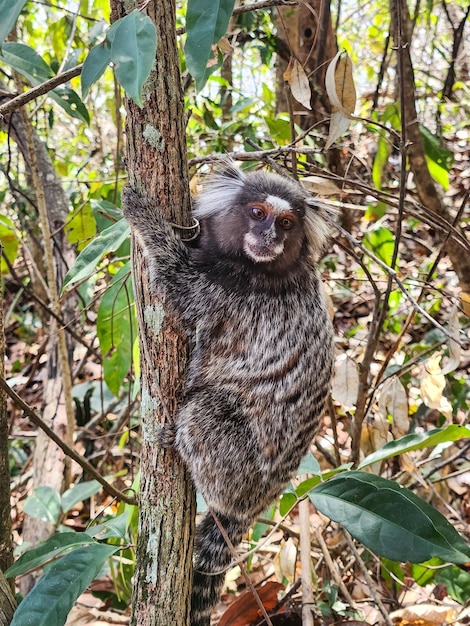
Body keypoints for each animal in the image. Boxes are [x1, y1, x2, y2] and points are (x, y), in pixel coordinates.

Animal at [121, 162, 334, 624]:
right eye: (257, 213)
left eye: (286, 223)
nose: (269, 235)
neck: (261, 268)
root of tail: (254, 503)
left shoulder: (227, 293)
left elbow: (173, 281)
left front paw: (144, 216)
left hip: (237, 469)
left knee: (203, 413)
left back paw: (176, 440)